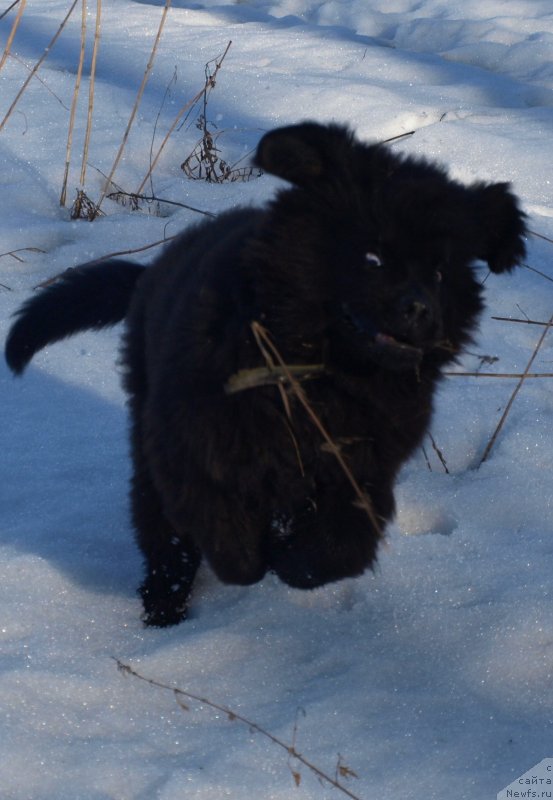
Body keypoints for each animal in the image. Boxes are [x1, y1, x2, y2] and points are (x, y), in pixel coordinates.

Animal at [5, 123, 528, 624]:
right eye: (373, 257)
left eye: (440, 273)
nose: (420, 310)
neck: (323, 379)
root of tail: (151, 272)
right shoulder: (193, 449)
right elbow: (222, 527)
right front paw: (251, 557)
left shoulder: (363, 470)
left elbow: (341, 545)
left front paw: (290, 559)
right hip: (152, 445)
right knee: (164, 541)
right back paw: (164, 611)